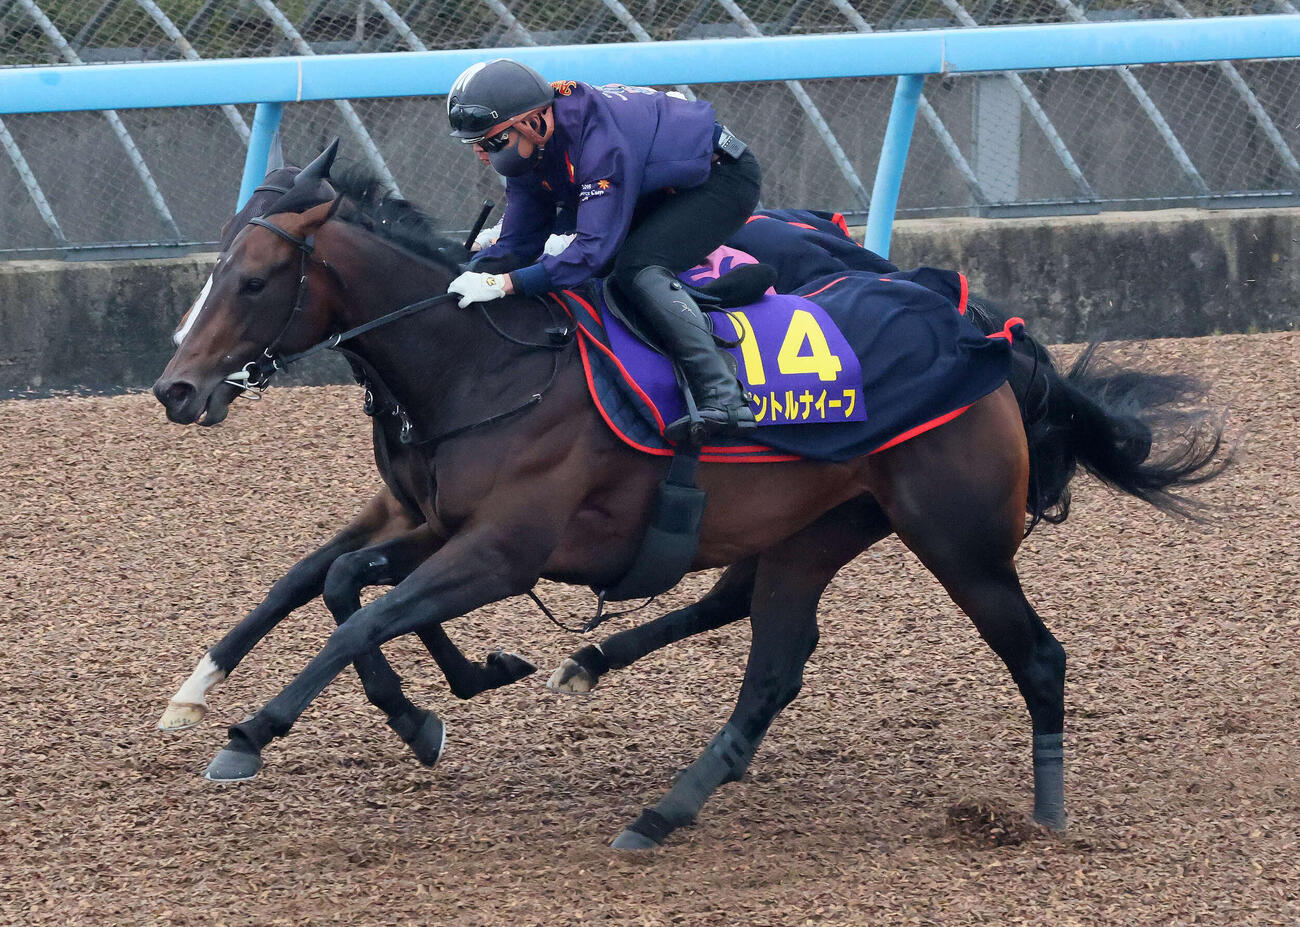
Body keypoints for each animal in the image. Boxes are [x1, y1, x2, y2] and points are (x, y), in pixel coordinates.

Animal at [153, 147, 1228, 849]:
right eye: (212, 272)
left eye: (254, 280)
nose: (176, 389)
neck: (485, 364)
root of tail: (988, 337)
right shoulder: (434, 520)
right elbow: (334, 583)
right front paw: (433, 697)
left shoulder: (502, 547)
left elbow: (360, 613)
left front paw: (257, 731)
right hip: (817, 530)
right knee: (773, 657)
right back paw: (659, 799)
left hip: (957, 540)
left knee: (1034, 653)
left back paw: (1044, 814)